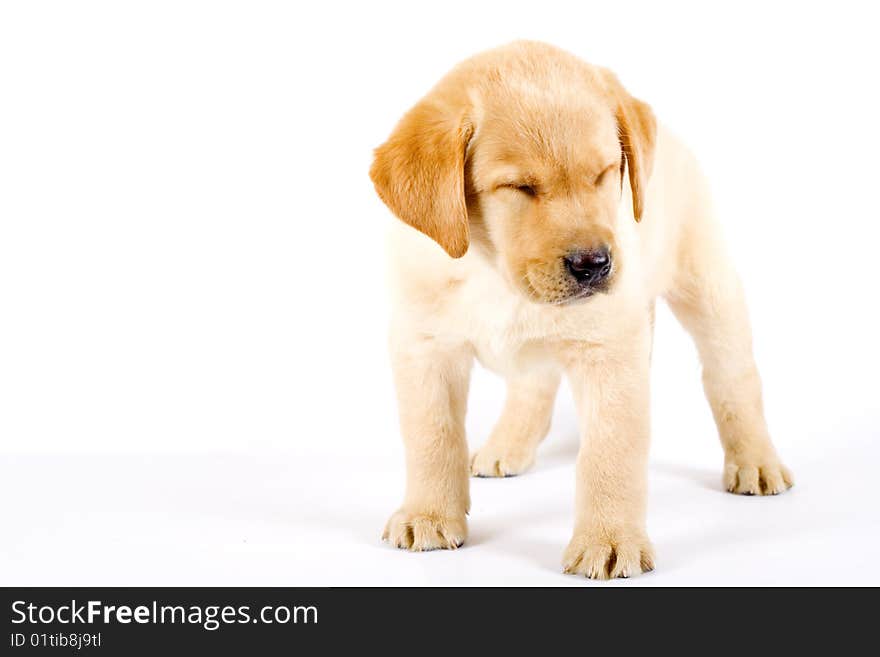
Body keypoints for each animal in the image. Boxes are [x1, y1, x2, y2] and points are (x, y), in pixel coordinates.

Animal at [368, 41, 796, 576]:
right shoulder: (424, 347)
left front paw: (609, 540)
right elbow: (432, 436)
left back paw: (756, 461)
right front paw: (427, 514)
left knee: (733, 377)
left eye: (604, 174)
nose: (594, 265)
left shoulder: (609, 353)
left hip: (709, 287)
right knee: (534, 386)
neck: (494, 271)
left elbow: (608, 454)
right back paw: (508, 445)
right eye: (519, 187)